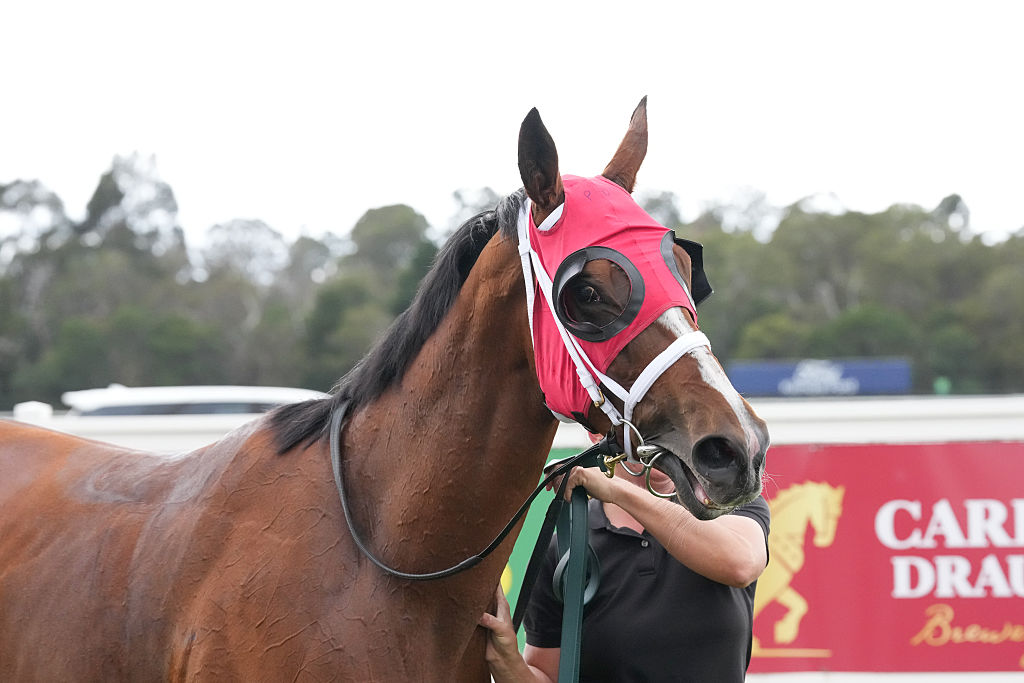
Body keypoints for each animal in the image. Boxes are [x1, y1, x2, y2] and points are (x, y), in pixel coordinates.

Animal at [752, 481, 845, 646]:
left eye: (837, 514)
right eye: (827, 512)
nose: (825, 540)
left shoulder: (780, 586)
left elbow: (800, 604)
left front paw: (785, 629)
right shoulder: (776, 586)